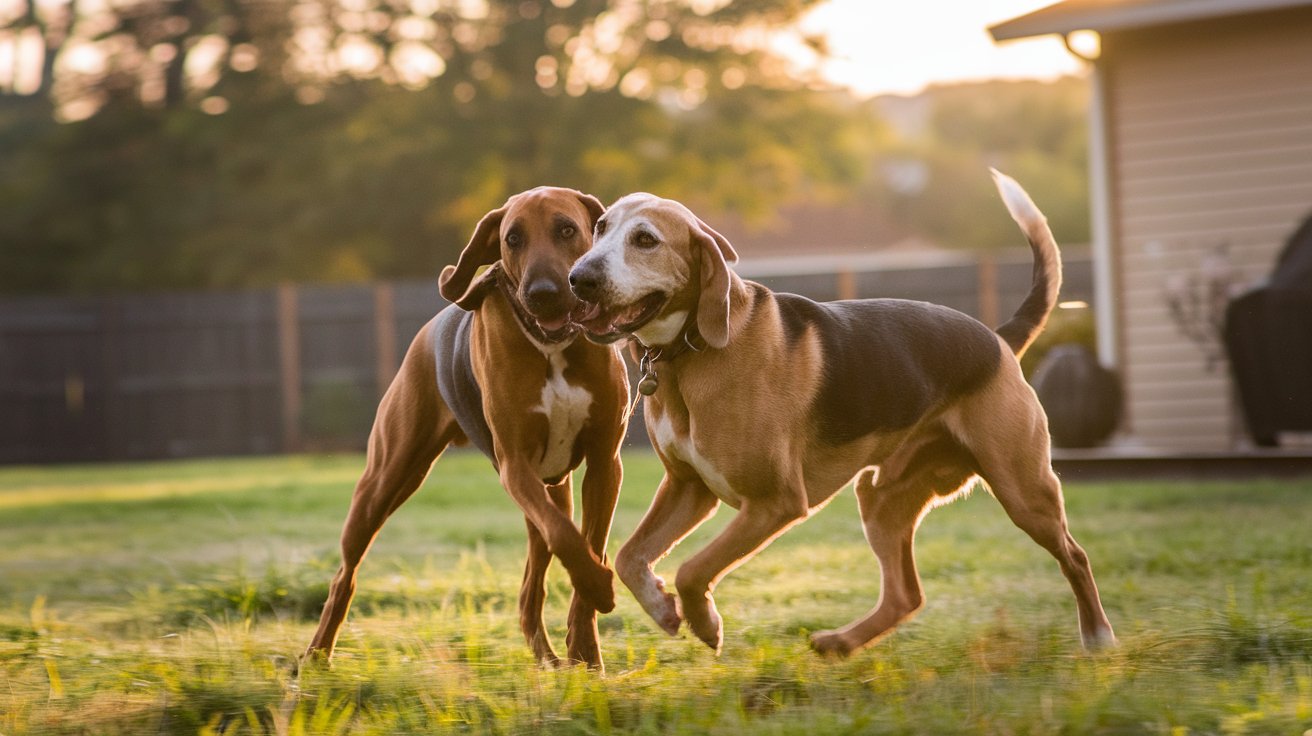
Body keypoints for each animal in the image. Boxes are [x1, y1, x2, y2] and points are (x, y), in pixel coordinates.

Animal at [309, 186, 632, 669]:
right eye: (512, 238)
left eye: (566, 229)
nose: (543, 293)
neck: (552, 345)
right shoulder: (516, 466)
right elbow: (568, 539)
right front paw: (599, 588)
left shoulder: (603, 464)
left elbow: (587, 545)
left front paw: (587, 651)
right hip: (384, 481)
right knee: (344, 576)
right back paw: (315, 656)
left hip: (552, 490)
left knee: (529, 590)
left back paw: (550, 657)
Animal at [569, 170, 1112, 653]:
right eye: (600, 228)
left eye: (645, 239)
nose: (579, 278)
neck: (692, 352)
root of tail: (997, 339)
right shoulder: (689, 488)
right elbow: (629, 557)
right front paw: (662, 608)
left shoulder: (776, 502)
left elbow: (692, 568)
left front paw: (704, 622)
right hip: (880, 497)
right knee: (905, 596)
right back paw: (842, 643)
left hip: (1024, 491)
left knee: (1077, 556)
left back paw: (1098, 638)